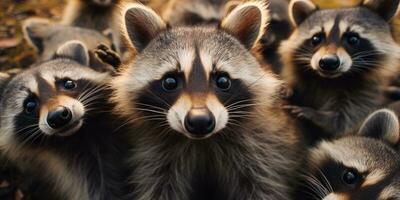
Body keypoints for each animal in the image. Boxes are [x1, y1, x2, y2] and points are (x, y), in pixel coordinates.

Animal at [112, 1, 304, 200]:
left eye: (223, 81)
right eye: (170, 81)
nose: (199, 121)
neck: (202, 142)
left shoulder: (264, 150)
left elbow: (264, 185)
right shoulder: (154, 157)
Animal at [280, 0, 400, 144]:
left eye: (353, 39)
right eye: (316, 38)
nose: (328, 62)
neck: (330, 80)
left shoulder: (367, 95)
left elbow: (344, 124)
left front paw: (316, 115)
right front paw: (289, 88)